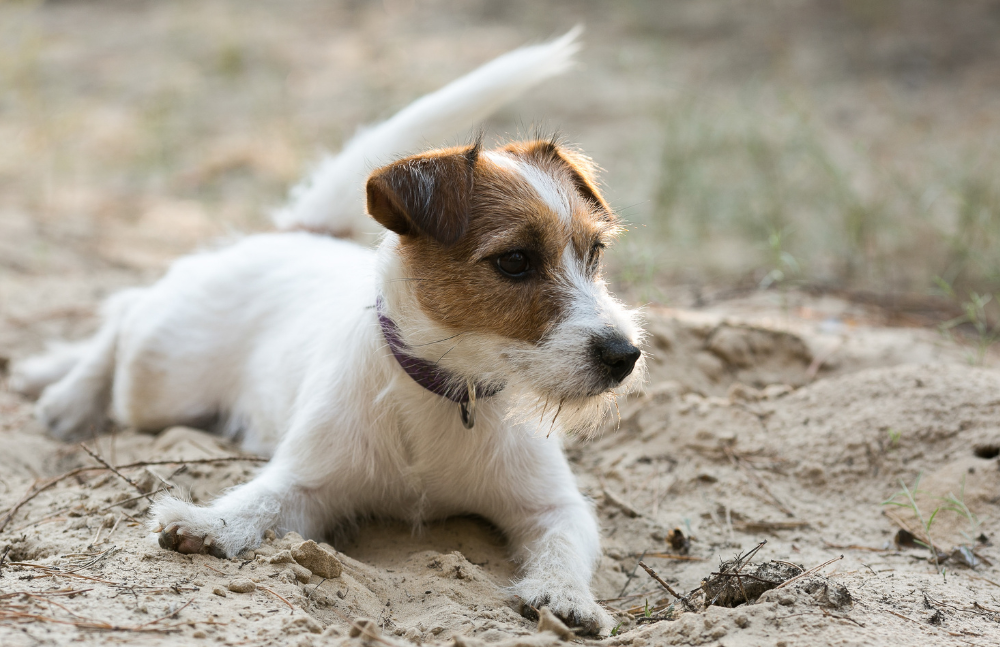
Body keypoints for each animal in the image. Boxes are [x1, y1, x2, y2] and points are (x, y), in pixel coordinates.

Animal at [13, 27, 648, 636]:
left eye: (594, 253)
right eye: (515, 261)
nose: (626, 355)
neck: (448, 391)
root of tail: (299, 232)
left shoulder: (556, 506)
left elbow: (566, 544)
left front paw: (567, 598)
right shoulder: (308, 481)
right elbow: (260, 501)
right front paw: (209, 522)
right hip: (158, 381)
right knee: (127, 309)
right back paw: (64, 392)